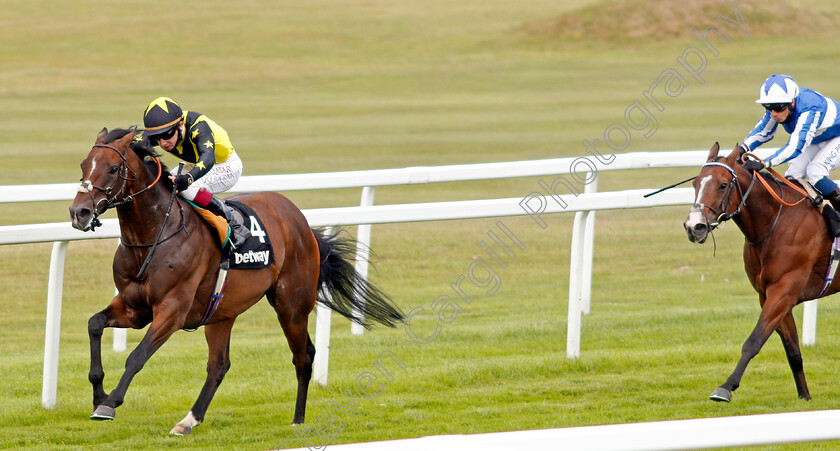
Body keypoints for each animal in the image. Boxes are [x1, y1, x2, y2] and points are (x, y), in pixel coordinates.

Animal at [69, 127, 404, 434]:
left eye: (113, 168)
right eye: (84, 164)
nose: (79, 212)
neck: (152, 237)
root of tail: (302, 222)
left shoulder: (172, 310)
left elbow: (136, 357)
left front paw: (109, 403)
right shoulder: (133, 307)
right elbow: (94, 324)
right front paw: (98, 392)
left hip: (291, 306)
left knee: (303, 356)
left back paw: (298, 419)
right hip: (222, 312)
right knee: (219, 365)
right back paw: (189, 420)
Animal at [684, 142, 832, 402]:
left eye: (723, 185)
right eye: (695, 184)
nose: (694, 227)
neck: (776, 221)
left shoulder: (783, 291)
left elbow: (753, 341)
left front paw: (725, 387)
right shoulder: (769, 295)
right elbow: (793, 351)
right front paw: (805, 397)